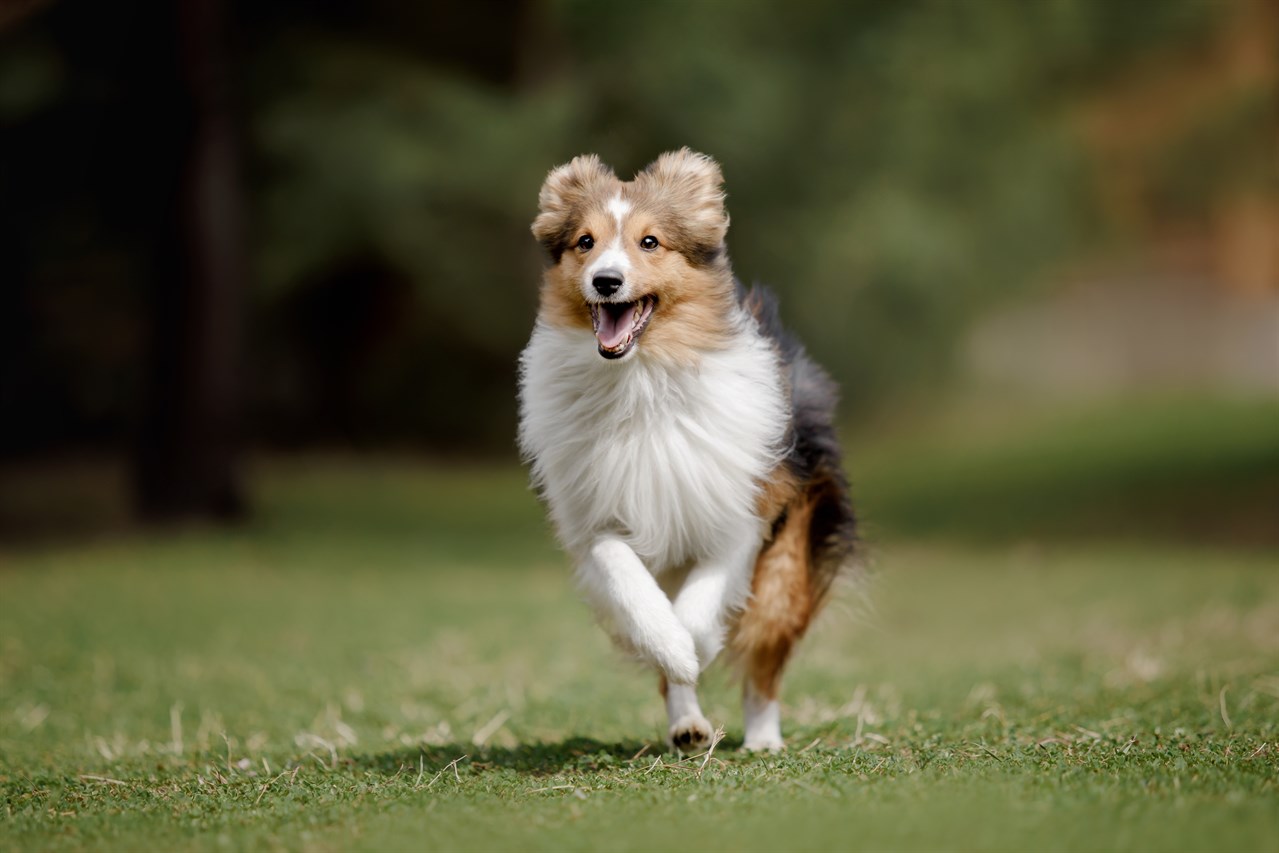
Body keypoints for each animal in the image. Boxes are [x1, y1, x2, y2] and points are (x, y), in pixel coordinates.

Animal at [514, 150, 854, 751]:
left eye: (650, 242)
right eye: (584, 242)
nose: (605, 280)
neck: (642, 380)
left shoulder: (740, 515)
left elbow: (699, 611)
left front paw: (697, 647)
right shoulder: (595, 519)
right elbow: (637, 593)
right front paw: (674, 652)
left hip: (788, 560)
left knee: (764, 656)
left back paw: (763, 737)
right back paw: (688, 724)